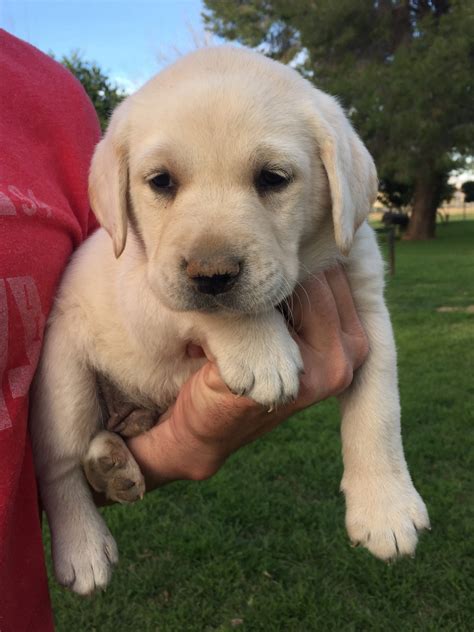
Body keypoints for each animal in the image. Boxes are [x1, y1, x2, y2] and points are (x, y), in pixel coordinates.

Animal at [29, 47, 430, 596]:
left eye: (273, 178)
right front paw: (261, 349)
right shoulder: (142, 286)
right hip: (63, 382)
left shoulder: (367, 306)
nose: (212, 275)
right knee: (60, 467)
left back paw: (113, 464)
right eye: (161, 182)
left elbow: (379, 411)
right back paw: (83, 545)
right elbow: (207, 313)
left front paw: (386, 508)